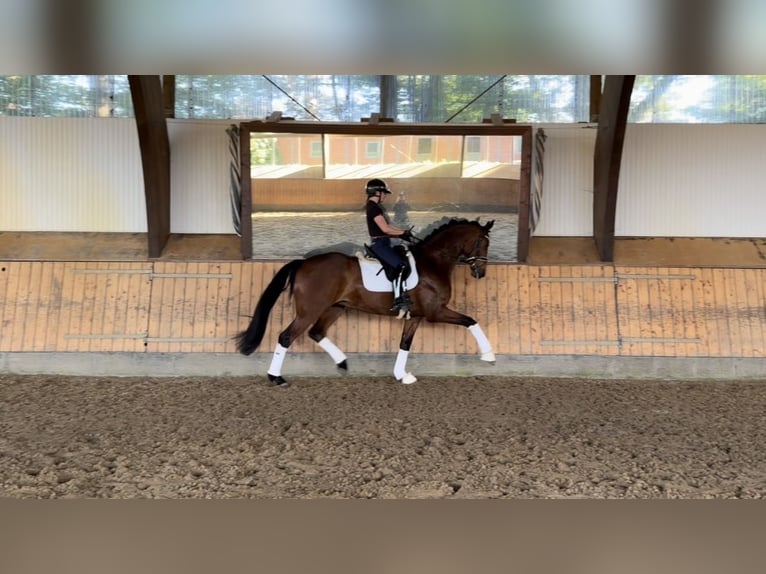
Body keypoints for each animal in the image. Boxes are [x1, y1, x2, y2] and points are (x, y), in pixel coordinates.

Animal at [234, 217, 496, 386]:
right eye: (483, 243)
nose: (481, 273)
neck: (433, 262)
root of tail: (303, 263)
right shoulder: (435, 312)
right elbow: (471, 321)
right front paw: (489, 355)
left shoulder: (417, 316)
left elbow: (405, 343)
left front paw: (402, 375)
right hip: (309, 311)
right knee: (286, 337)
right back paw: (276, 378)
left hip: (335, 308)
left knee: (317, 333)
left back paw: (342, 362)